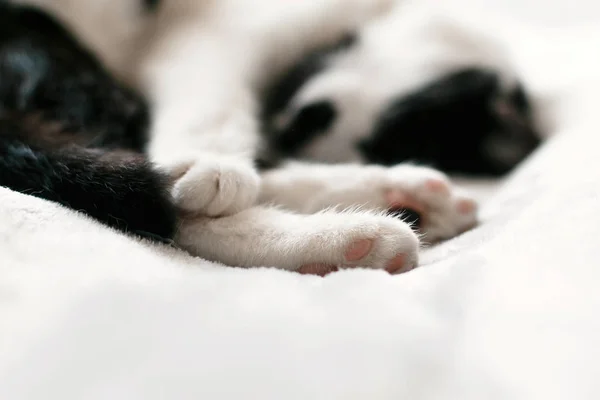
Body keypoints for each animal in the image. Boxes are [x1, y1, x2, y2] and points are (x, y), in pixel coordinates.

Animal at [0, 0, 516, 276]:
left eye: (387, 139)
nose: (304, 119)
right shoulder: (214, 29)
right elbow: (213, 94)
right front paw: (209, 162)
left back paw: (401, 203)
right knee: (145, 196)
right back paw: (347, 237)